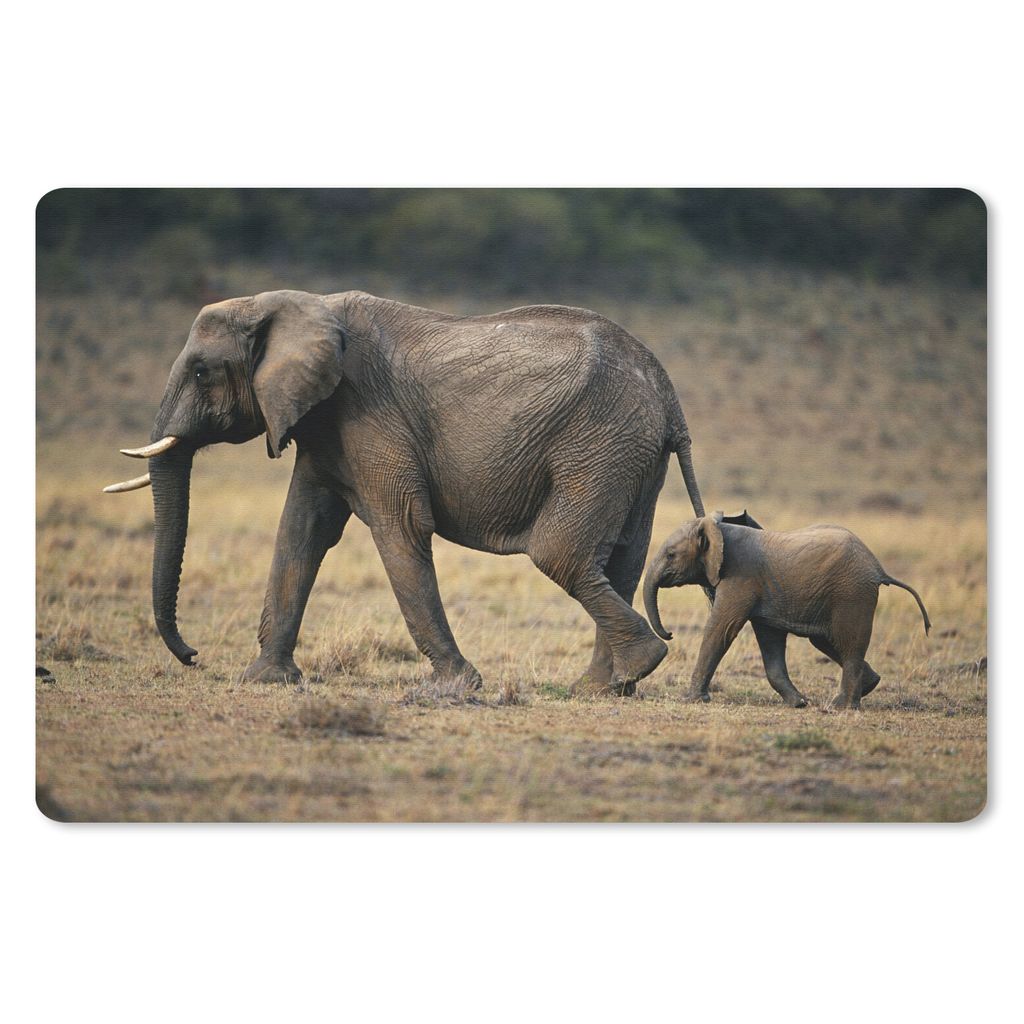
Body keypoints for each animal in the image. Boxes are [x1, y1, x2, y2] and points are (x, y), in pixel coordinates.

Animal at [105, 290, 706, 694]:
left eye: (202, 373)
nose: (192, 655)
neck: (289, 304)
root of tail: (670, 394)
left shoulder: (368, 412)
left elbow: (401, 527)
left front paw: (456, 689)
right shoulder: (324, 426)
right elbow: (301, 531)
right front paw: (266, 680)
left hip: (600, 441)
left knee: (560, 553)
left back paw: (639, 663)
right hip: (631, 454)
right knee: (621, 559)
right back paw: (604, 687)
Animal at [642, 512, 931, 709]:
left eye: (670, 554)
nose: (669, 634)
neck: (718, 529)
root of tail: (879, 568)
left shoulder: (740, 578)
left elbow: (721, 628)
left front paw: (691, 699)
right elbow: (769, 639)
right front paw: (799, 703)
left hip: (852, 593)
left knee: (849, 643)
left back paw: (840, 706)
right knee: (829, 641)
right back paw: (869, 686)